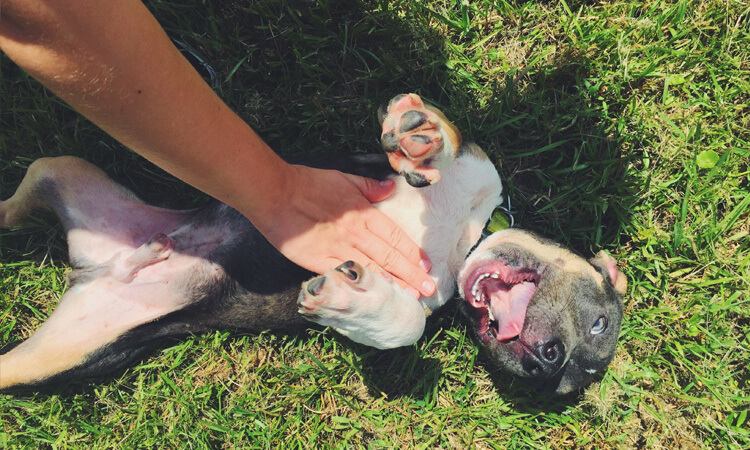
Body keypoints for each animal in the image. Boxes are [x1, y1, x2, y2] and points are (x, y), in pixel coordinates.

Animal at [0, 94, 624, 394]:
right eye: (600, 321)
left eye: (559, 381)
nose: (544, 361)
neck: (465, 237)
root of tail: (94, 269)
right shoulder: (469, 163)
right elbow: (448, 138)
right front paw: (420, 136)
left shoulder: (417, 300)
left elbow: (403, 323)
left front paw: (352, 300)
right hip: (70, 170)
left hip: (56, 342)